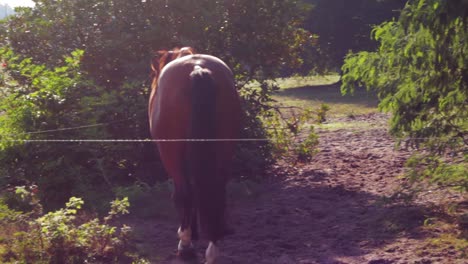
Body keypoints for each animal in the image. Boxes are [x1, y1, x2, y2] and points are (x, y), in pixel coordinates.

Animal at [148, 47, 241, 262]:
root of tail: (197, 68)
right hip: (224, 149)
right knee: (216, 191)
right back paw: (212, 249)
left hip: (171, 155)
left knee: (185, 193)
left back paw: (185, 244)